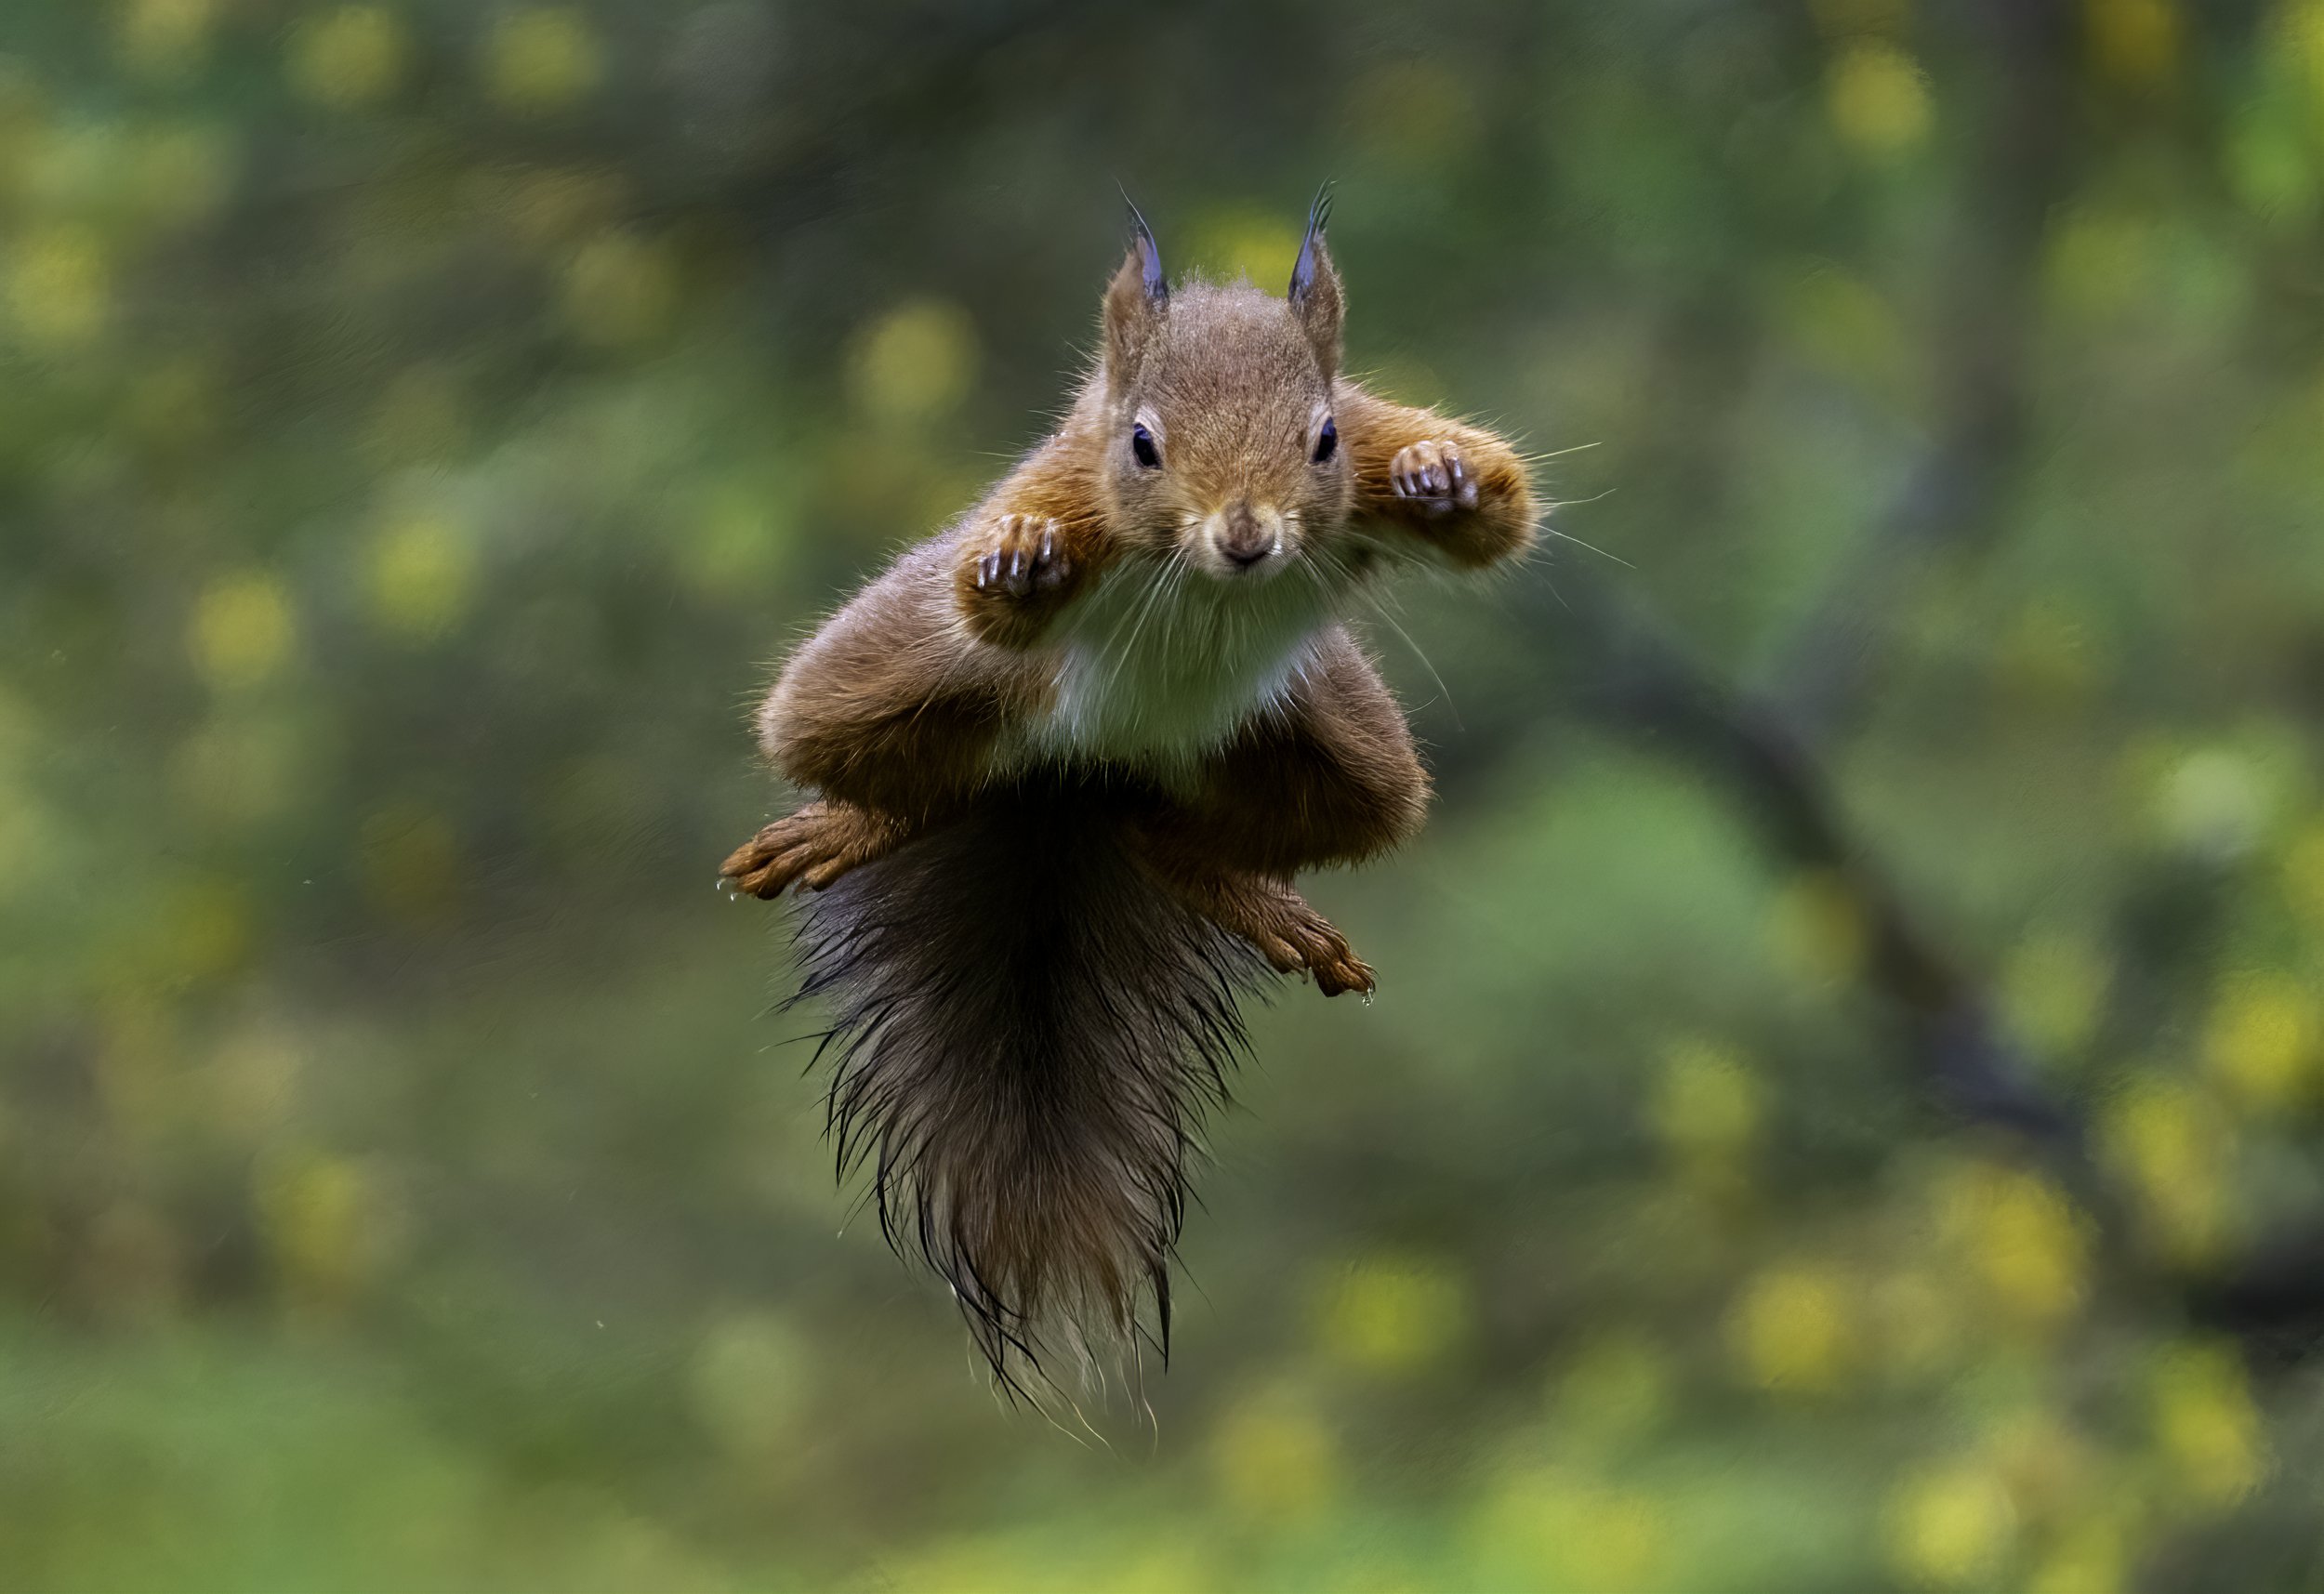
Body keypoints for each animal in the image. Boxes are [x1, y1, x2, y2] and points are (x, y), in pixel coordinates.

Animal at [721, 195, 1536, 1391]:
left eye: (1323, 438)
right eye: (1140, 442)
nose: (1245, 536)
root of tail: (1075, 781)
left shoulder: (1373, 443)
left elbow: (1503, 516)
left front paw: (1447, 475)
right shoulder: (1068, 483)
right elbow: (996, 586)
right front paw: (1021, 560)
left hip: (1340, 751)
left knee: (1221, 827)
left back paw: (1224, 879)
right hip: (875, 679)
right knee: (879, 754)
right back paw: (857, 821)